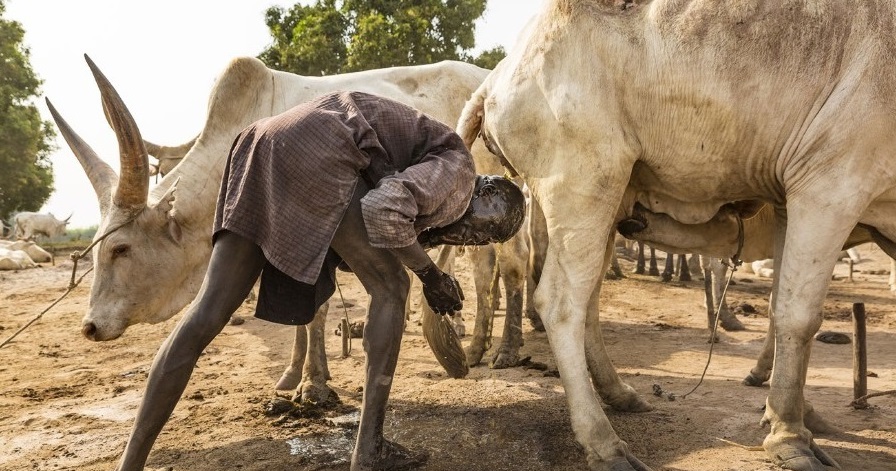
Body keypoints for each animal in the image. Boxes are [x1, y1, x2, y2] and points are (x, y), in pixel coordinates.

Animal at [458, 1, 896, 470]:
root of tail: (496, 77)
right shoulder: (831, 183)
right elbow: (799, 317)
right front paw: (790, 437)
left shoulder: (786, 202)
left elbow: (780, 306)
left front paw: (792, 414)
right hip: (583, 182)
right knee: (561, 302)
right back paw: (604, 442)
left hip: (609, 200)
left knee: (587, 300)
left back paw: (620, 395)